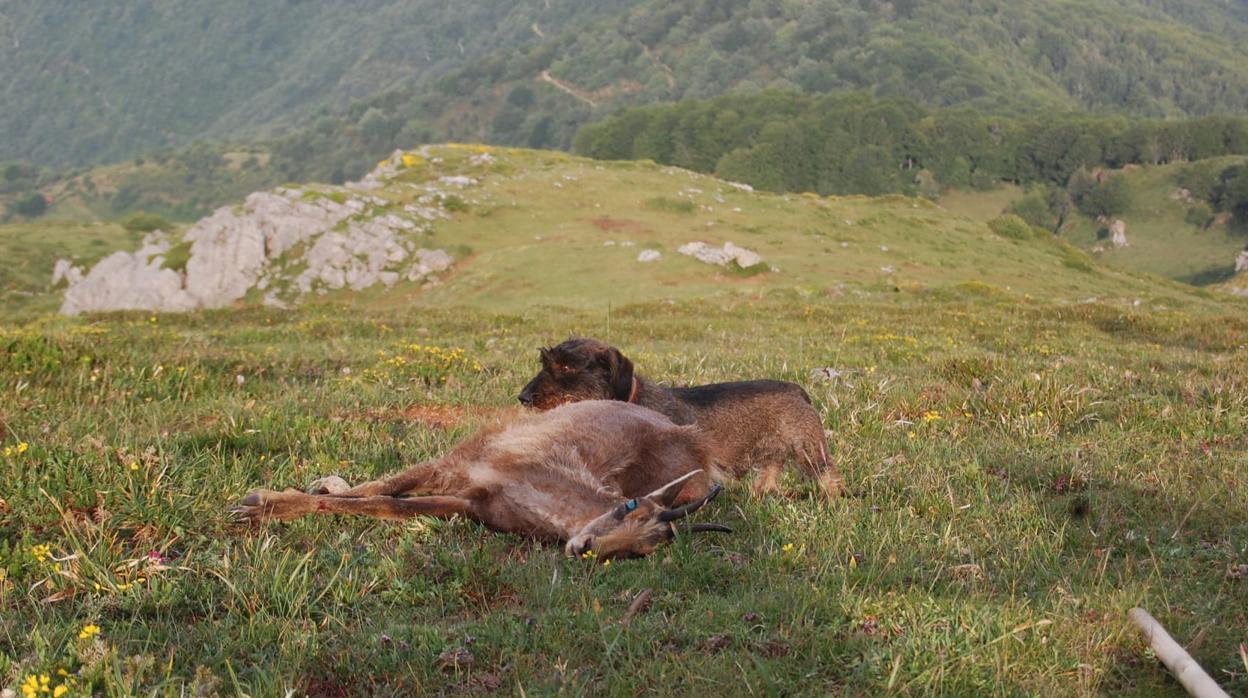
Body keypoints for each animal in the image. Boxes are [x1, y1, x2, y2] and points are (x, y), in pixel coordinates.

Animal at [516, 339, 838, 496]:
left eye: (567, 367)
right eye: (544, 362)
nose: (523, 397)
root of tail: (797, 390)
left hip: (810, 451)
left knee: (829, 475)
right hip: (771, 454)